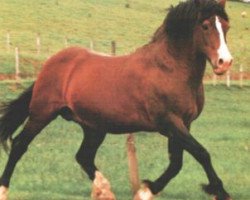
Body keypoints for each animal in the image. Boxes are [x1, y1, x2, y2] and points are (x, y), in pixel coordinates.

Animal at [0, 0, 232, 199]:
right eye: (205, 26)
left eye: (226, 27)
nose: (225, 62)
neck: (169, 69)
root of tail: (49, 64)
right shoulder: (169, 122)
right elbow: (201, 153)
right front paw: (220, 191)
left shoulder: (183, 124)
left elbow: (176, 163)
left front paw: (146, 190)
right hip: (42, 114)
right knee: (19, 145)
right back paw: (4, 190)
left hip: (93, 127)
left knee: (83, 156)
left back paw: (104, 189)